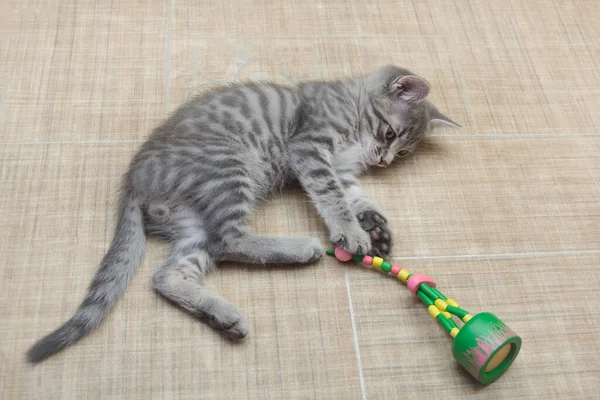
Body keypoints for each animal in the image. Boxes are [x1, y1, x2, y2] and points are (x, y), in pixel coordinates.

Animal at [27, 64, 460, 360]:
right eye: (390, 133)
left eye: (403, 152)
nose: (384, 161)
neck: (351, 106)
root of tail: (133, 181)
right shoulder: (310, 148)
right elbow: (331, 195)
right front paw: (352, 231)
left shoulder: (344, 170)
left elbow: (355, 196)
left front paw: (376, 227)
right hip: (228, 168)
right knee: (229, 238)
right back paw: (298, 249)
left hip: (193, 226)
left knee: (170, 274)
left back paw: (222, 314)